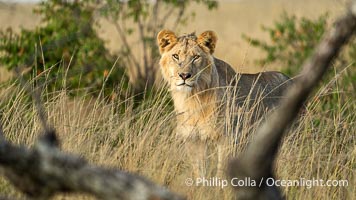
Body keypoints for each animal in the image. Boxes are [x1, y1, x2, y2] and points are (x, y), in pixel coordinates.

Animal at [157, 29, 290, 177]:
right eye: (175, 56)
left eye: (196, 57)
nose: (184, 76)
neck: (191, 99)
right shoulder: (193, 139)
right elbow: (199, 172)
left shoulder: (227, 139)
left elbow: (221, 172)